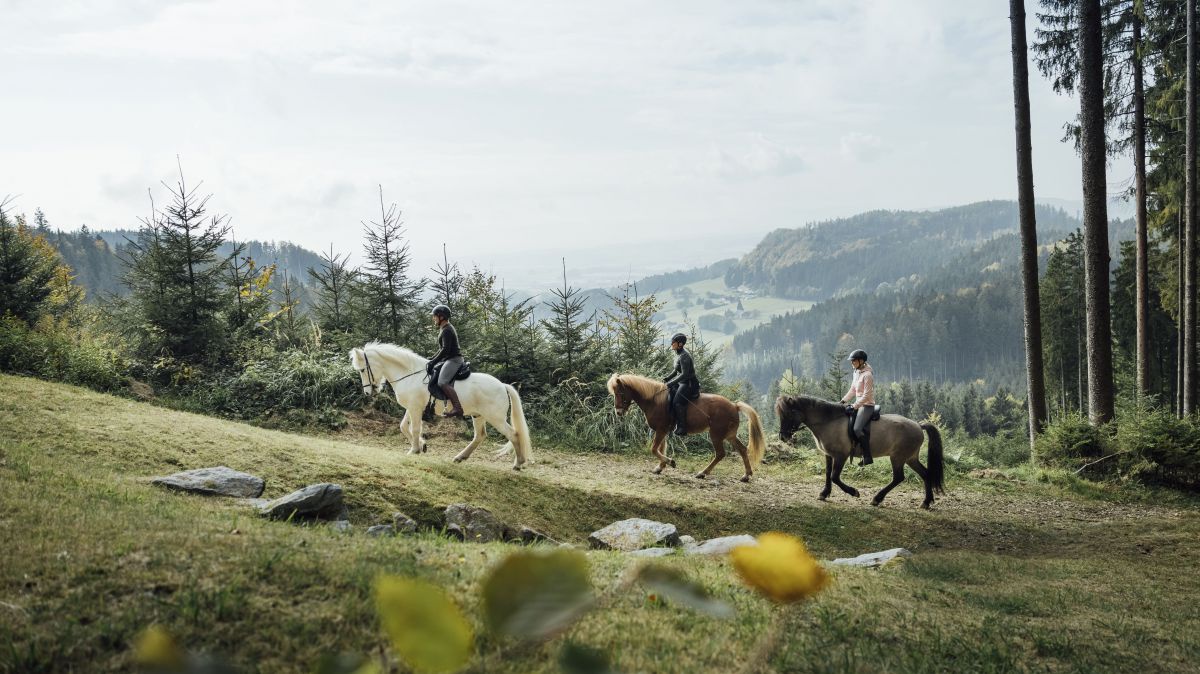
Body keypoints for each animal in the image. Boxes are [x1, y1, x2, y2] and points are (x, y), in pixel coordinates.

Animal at [350, 340, 532, 467]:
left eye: (362, 370)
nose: (368, 393)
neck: (409, 375)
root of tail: (502, 385)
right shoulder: (413, 407)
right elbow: (404, 427)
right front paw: (422, 445)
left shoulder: (415, 408)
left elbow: (414, 429)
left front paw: (414, 450)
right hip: (478, 415)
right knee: (479, 436)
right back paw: (460, 457)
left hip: (496, 418)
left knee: (513, 435)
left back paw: (518, 463)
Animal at [609, 371, 768, 477]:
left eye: (620, 393)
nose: (618, 412)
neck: (654, 400)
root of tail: (734, 406)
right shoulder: (663, 431)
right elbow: (661, 448)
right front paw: (660, 467)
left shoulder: (661, 430)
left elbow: (654, 449)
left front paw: (670, 462)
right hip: (729, 435)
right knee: (742, 449)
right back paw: (746, 475)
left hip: (716, 434)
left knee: (720, 454)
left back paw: (703, 473)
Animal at [777, 393, 945, 503]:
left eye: (789, 414)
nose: (783, 437)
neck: (829, 421)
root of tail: (918, 425)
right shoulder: (829, 455)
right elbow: (827, 474)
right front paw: (824, 493)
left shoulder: (841, 455)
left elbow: (834, 477)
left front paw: (853, 492)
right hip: (910, 458)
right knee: (925, 474)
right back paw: (926, 502)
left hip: (898, 457)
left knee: (898, 478)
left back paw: (877, 498)